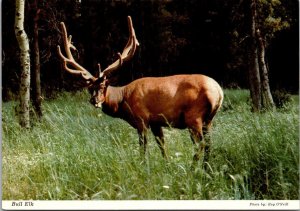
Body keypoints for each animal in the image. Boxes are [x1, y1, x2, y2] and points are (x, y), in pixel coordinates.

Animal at [58, 16, 223, 165]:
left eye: (103, 85)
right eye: (89, 88)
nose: (94, 100)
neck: (123, 100)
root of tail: (219, 92)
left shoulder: (141, 118)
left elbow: (143, 147)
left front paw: (144, 165)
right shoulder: (156, 122)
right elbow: (162, 146)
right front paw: (167, 165)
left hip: (193, 116)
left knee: (200, 145)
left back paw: (192, 168)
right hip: (208, 119)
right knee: (209, 145)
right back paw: (206, 168)